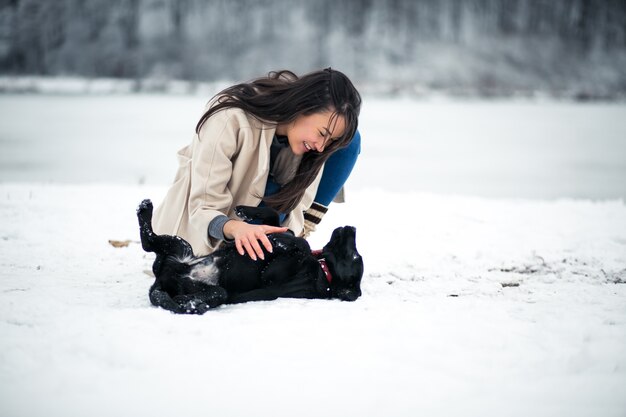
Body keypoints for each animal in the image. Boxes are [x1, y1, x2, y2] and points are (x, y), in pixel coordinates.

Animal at [135, 198, 364, 312]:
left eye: (355, 257)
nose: (351, 227)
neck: (323, 270)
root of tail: (160, 282)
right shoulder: (277, 228)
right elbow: (275, 218)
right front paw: (244, 211)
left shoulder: (272, 275)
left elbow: (303, 244)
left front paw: (284, 243)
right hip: (181, 247)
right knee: (149, 241)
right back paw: (144, 209)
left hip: (215, 290)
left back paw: (190, 303)